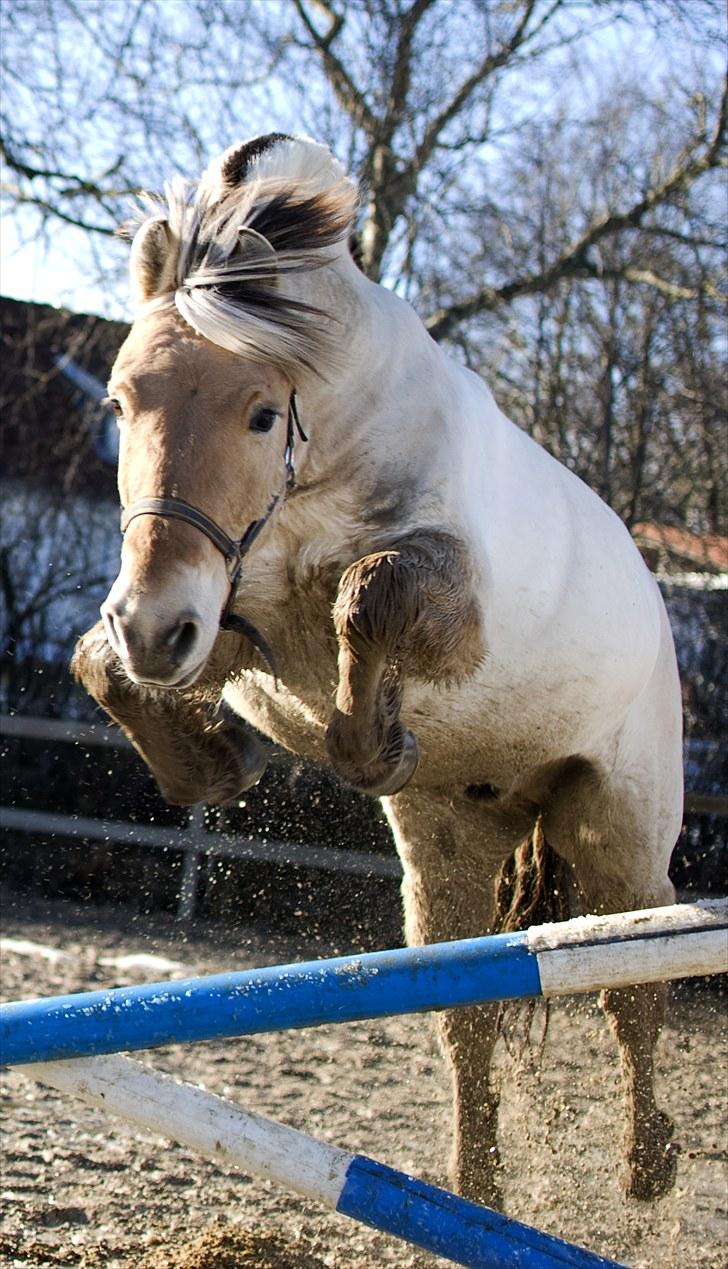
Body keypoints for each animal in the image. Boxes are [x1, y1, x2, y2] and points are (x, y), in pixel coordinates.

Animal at [74, 131, 684, 1208]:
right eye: (118, 403)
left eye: (261, 413)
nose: (155, 629)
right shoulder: (219, 616)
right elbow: (100, 662)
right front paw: (216, 765)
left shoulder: (442, 598)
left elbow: (372, 593)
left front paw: (372, 743)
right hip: (450, 844)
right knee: (467, 1015)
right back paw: (474, 1188)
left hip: (615, 827)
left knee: (630, 989)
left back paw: (647, 1166)